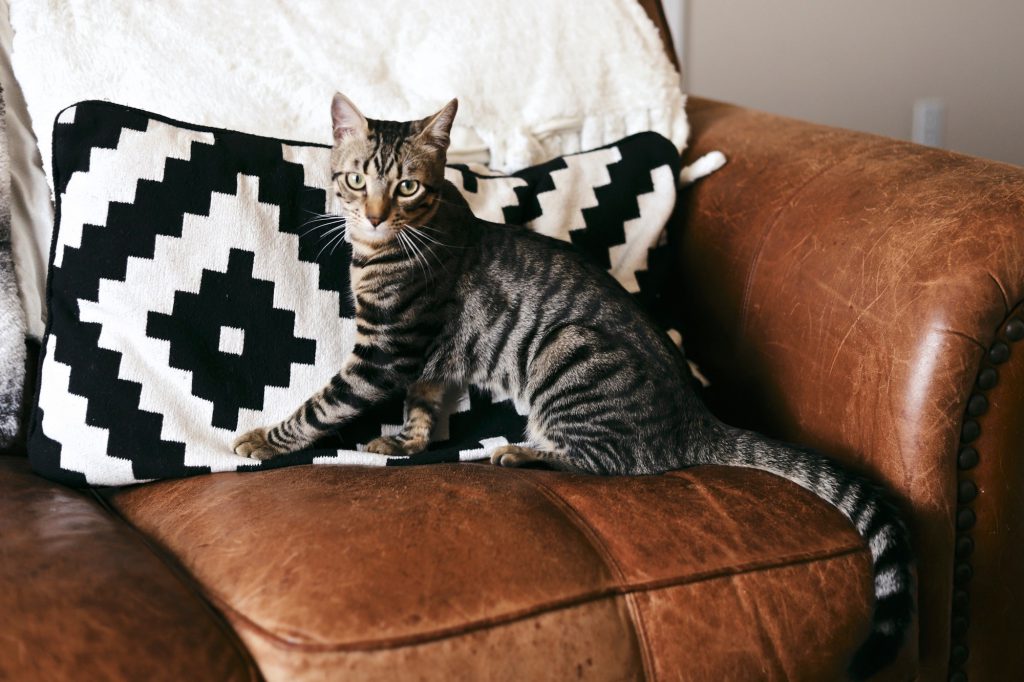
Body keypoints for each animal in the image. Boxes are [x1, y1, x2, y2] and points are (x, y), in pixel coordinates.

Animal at [235, 94, 917, 675]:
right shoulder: (429, 362)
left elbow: (325, 404)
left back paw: (521, 452)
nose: (375, 217)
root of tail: (698, 418)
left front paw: (265, 439)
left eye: (406, 186)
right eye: (357, 181)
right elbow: (425, 408)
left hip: (565, 353)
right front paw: (405, 442)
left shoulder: (387, 350)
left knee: (611, 462)